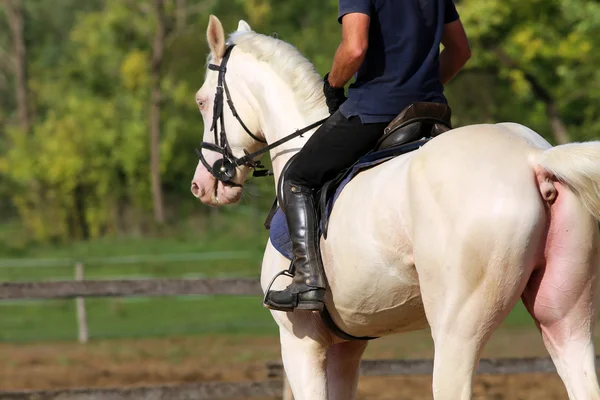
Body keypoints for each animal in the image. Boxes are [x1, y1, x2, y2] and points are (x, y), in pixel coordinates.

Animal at [191, 14, 600, 398]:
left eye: (201, 100)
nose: (204, 184)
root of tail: (533, 157)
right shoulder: (346, 347)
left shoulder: (300, 342)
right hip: (566, 321)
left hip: (457, 331)